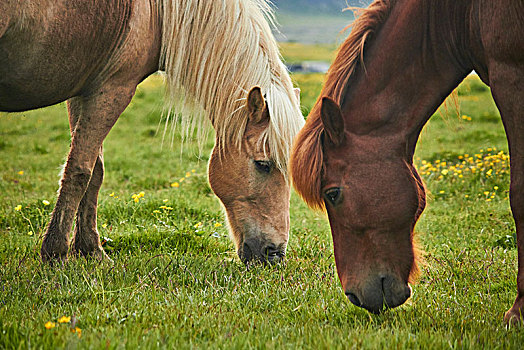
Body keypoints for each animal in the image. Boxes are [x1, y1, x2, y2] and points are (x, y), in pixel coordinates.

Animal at [1, 0, 302, 262]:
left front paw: (91, 250)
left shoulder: (83, 90)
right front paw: (56, 253)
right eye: (263, 164)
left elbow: (95, 171)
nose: (275, 254)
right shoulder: (113, 89)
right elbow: (80, 170)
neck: (157, 11)